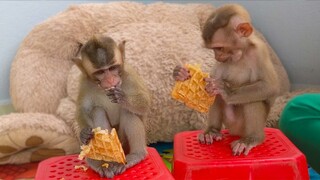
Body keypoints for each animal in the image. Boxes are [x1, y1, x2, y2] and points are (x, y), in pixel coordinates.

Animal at [73, 34, 151, 177]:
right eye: (100, 72)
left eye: (112, 68)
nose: (110, 80)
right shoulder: (84, 83)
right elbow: (82, 110)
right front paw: (84, 133)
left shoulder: (129, 74)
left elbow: (145, 103)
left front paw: (122, 98)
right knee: (97, 111)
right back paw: (101, 162)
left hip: (124, 144)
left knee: (128, 112)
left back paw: (136, 155)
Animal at [172, 4, 280, 156]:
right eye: (213, 49)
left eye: (219, 47)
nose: (216, 56)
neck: (240, 53)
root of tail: (235, 132)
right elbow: (213, 77)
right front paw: (180, 74)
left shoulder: (260, 51)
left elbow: (271, 86)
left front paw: (226, 90)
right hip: (230, 123)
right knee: (216, 96)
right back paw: (212, 130)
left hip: (244, 126)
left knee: (253, 100)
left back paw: (252, 138)